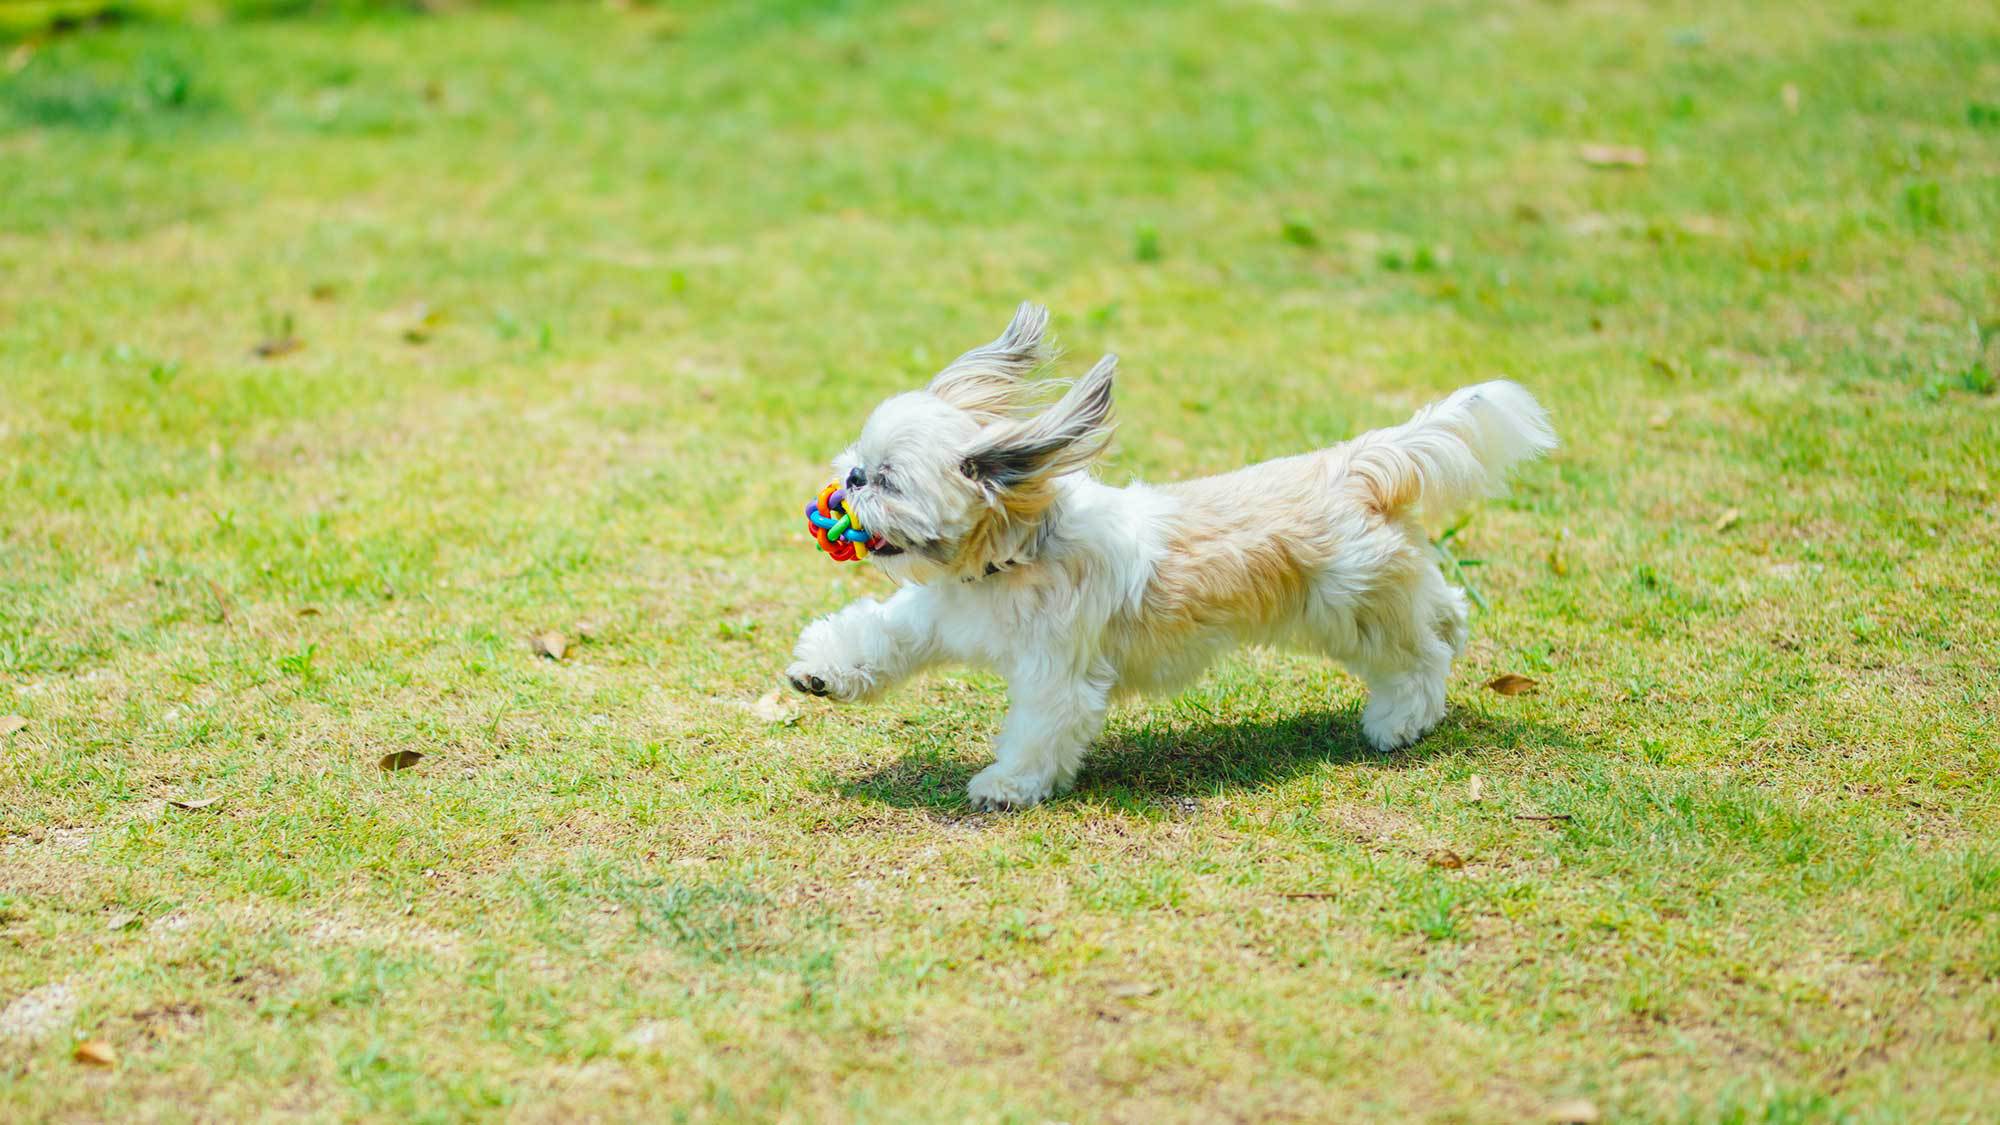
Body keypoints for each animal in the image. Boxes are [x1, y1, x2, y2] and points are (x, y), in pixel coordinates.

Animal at [788, 300, 1552, 804]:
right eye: (862, 460)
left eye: (888, 479)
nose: (850, 477)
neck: (1011, 559)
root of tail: (1355, 463)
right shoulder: (938, 615)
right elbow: (875, 637)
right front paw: (820, 673)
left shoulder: (1055, 672)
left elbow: (1039, 728)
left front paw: (1005, 784)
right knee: (1443, 610)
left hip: (1349, 608)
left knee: (1418, 657)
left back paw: (1400, 721)